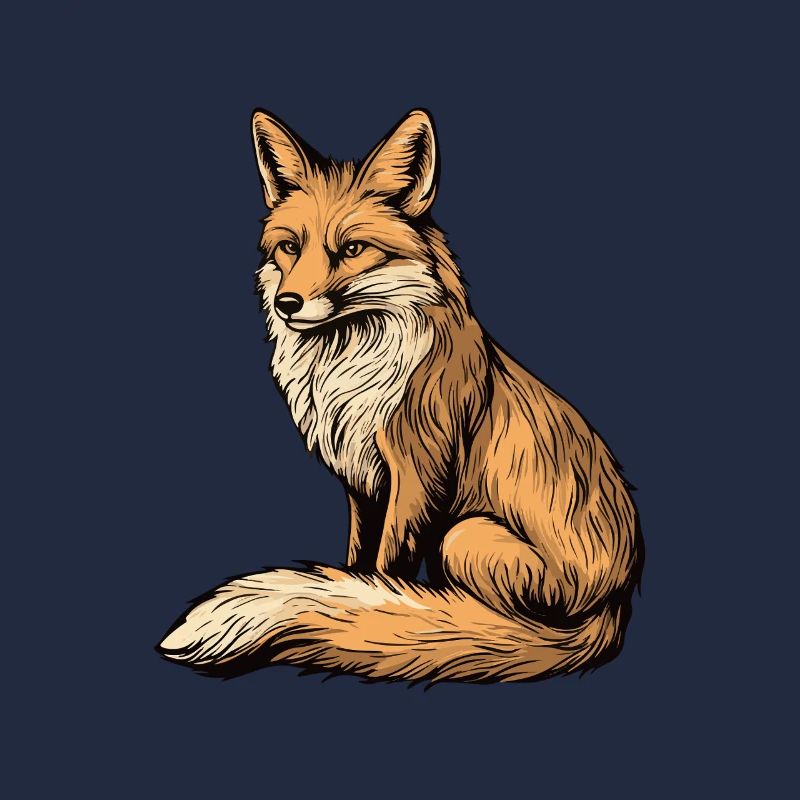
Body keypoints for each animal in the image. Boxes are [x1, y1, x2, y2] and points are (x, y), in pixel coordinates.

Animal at [158, 108, 644, 683]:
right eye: (290, 247)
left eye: (351, 249)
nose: (287, 303)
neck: (349, 371)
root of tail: (616, 603)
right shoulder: (361, 481)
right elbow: (359, 563)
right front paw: (357, 598)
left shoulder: (416, 473)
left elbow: (388, 570)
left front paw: (384, 610)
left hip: (464, 535)